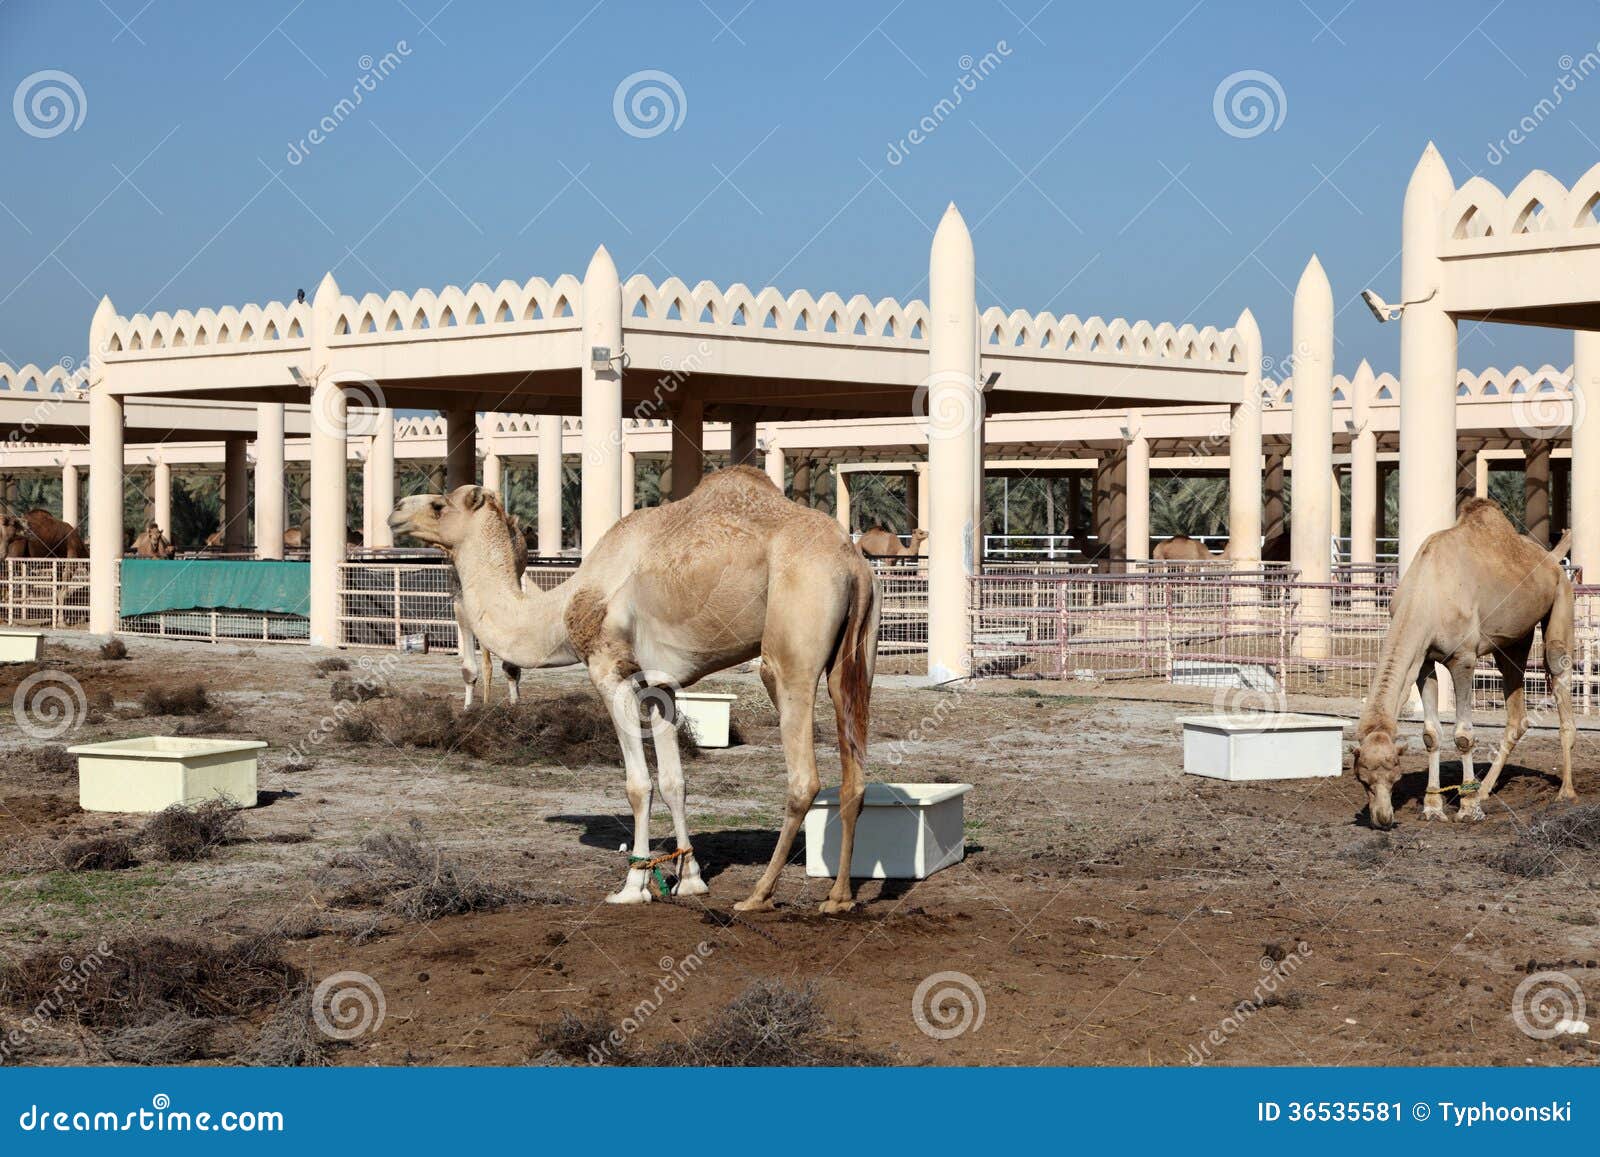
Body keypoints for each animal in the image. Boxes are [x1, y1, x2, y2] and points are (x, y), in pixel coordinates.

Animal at [390, 466, 879, 912]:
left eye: (439, 505)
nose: (396, 512)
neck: (562, 609)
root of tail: (853, 563)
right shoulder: (660, 685)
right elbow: (675, 781)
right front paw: (689, 879)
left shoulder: (610, 672)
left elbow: (638, 784)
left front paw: (633, 884)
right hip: (857, 655)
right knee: (855, 772)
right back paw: (839, 896)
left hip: (792, 642)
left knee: (803, 775)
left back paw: (759, 894)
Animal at [1351, 499, 1576, 828]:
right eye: (1363, 779)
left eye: (1395, 775)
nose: (1382, 818)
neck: (1427, 592)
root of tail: (1552, 559)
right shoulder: (1424, 660)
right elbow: (1430, 734)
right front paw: (1433, 807)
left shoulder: (1464, 659)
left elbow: (1464, 735)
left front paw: (1468, 809)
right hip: (1513, 641)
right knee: (1516, 713)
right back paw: (1484, 790)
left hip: (1561, 599)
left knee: (1558, 673)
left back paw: (1565, 793)